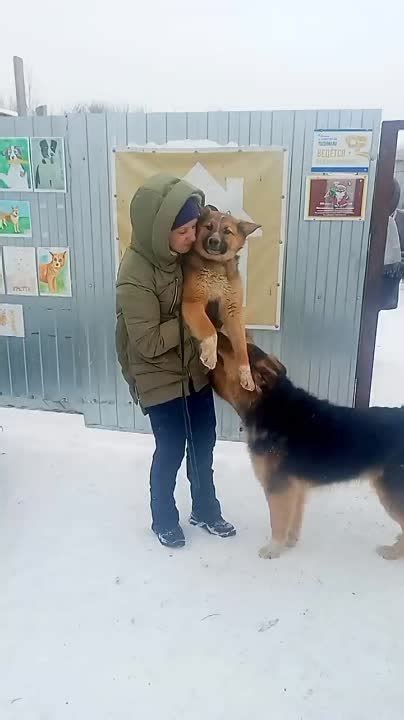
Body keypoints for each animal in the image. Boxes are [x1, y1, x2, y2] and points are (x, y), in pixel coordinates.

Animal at [210, 332, 404, 564]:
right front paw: (289, 543)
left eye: (235, 346)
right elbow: (293, 520)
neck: (270, 406)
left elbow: (277, 522)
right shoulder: (296, 489)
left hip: (391, 492)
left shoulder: (278, 487)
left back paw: (393, 552)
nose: (217, 331)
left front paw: (273, 549)